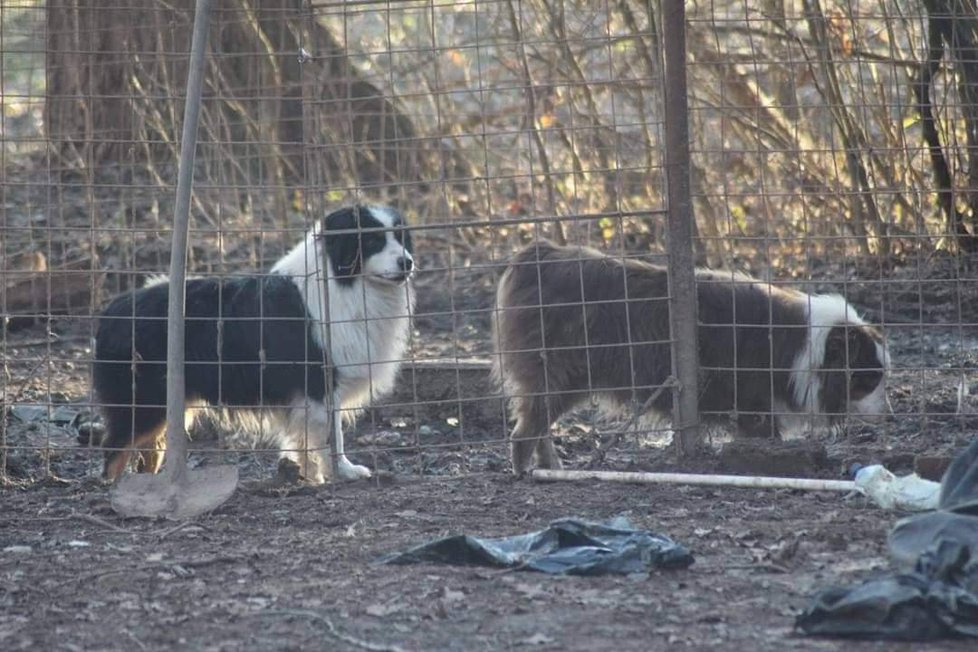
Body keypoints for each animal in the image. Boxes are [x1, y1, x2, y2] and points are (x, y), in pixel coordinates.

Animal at [97, 205, 418, 484]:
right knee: (114, 450)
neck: (343, 282)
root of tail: (112, 309)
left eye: (401, 238)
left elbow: (304, 439)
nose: (408, 262)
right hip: (142, 402)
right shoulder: (320, 384)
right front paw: (343, 472)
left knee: (148, 452)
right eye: (373, 240)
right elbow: (331, 436)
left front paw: (310, 476)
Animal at [492, 239, 888, 474]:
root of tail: (538, 253)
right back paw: (526, 471)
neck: (803, 344)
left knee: (537, 426)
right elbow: (766, 435)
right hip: (558, 376)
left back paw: (551, 466)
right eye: (869, 379)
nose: (887, 413)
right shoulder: (754, 406)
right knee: (525, 432)